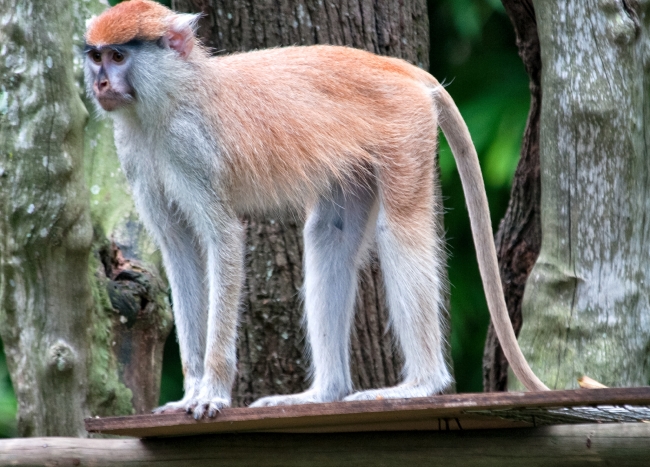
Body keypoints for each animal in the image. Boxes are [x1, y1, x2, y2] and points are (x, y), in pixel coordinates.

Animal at [83, 0, 544, 416]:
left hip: (406, 128)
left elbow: (223, 239)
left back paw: (421, 384)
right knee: (328, 237)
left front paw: (212, 392)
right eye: (96, 57)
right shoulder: (136, 157)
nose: (101, 85)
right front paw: (190, 392)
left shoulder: (190, 150)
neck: (169, 96)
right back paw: (325, 392)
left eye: (119, 56)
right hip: (354, 164)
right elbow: (179, 250)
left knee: (401, 232)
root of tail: (396, 68)